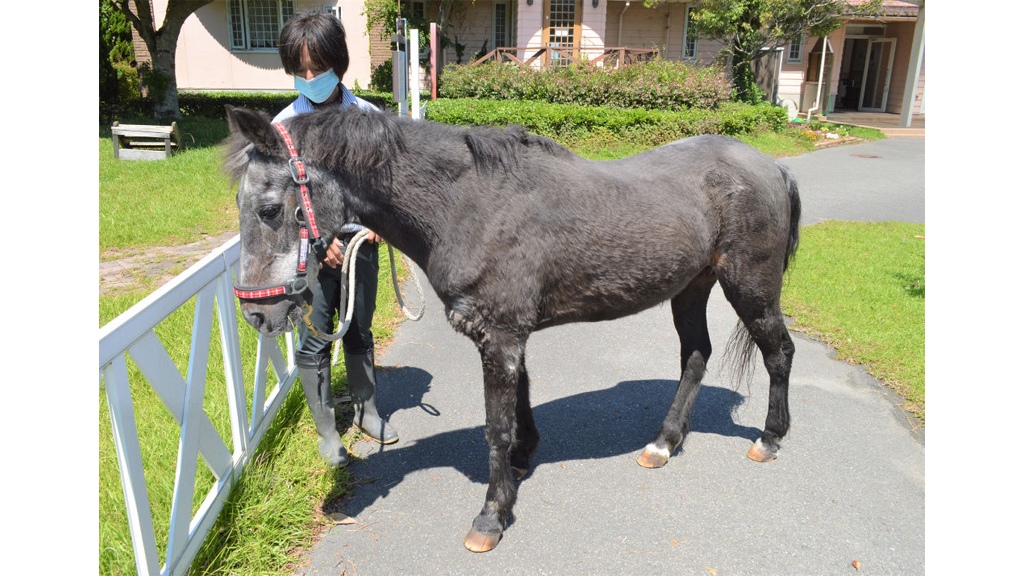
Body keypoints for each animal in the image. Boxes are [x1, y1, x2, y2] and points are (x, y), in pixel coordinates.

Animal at [224, 104, 798, 553]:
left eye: (269, 209)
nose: (257, 315)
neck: (468, 204)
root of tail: (769, 165)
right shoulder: (509, 336)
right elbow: (520, 400)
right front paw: (523, 460)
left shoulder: (499, 336)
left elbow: (495, 427)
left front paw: (491, 516)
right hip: (692, 287)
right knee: (695, 355)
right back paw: (664, 442)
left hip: (750, 287)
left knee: (779, 353)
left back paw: (768, 439)